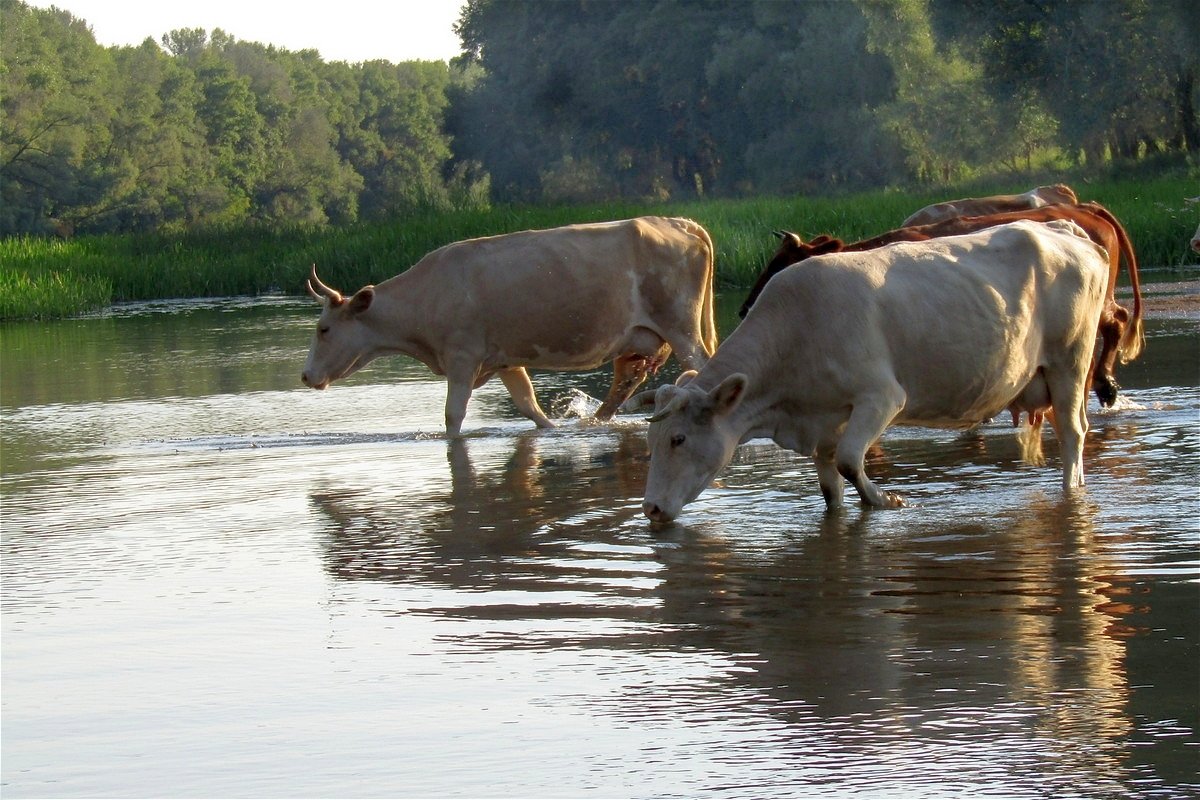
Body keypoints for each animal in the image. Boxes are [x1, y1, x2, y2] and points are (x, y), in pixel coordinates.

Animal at [300, 215, 715, 434]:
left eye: (324, 329)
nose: (305, 376)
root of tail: (675, 222)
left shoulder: (462, 357)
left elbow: (453, 415)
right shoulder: (505, 360)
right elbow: (529, 405)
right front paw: (551, 430)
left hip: (681, 326)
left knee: (704, 366)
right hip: (639, 341)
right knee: (623, 385)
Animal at [633, 220, 1108, 525]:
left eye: (678, 439)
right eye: (653, 441)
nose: (650, 508)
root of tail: (1064, 230)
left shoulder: (882, 397)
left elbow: (849, 460)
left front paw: (887, 499)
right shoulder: (823, 421)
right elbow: (830, 485)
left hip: (1070, 360)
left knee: (1072, 433)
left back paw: (1071, 491)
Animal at [739, 203, 1142, 410]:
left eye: (781, 264)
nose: (744, 308)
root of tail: (1085, 209)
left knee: (1116, 322)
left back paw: (1103, 385)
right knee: (1116, 322)